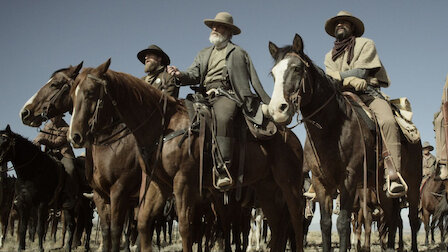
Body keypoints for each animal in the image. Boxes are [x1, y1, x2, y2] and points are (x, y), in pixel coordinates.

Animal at [69, 58, 304, 250]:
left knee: (295, 223)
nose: (75, 136)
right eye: (72, 94)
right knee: (278, 227)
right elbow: (143, 223)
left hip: (289, 186)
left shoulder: (180, 183)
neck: (164, 126)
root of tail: (293, 138)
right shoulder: (157, 184)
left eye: (90, 93)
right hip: (266, 190)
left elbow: (185, 228)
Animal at [266, 34, 424, 252]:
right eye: (273, 74)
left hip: (414, 181)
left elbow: (342, 223)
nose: (276, 110)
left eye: (296, 68)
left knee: (412, 219)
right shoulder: (321, 182)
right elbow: (325, 224)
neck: (331, 128)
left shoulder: (348, 179)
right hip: (382, 189)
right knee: (391, 218)